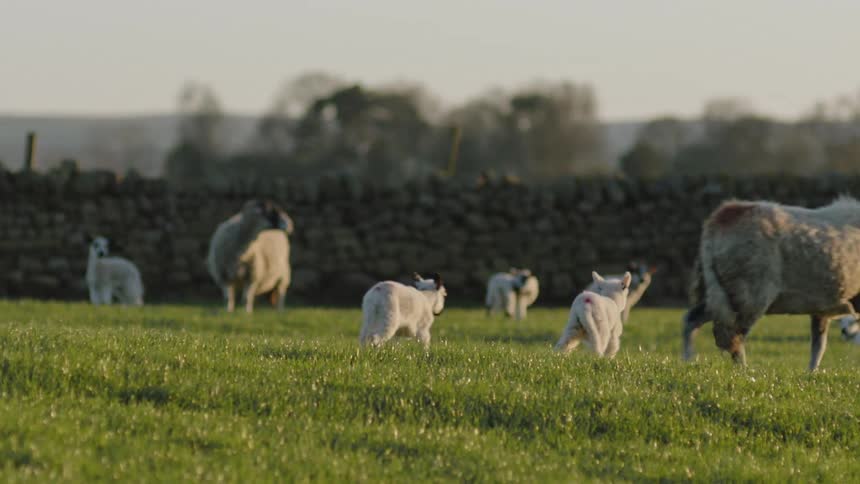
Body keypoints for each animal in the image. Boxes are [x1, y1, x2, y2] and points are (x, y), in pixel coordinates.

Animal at [682, 197, 860, 371]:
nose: (845, 331)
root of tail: (722, 217)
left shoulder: (820, 309)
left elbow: (818, 346)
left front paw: (811, 374)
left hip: (721, 293)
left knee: (692, 319)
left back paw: (687, 360)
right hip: (749, 294)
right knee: (733, 336)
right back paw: (744, 372)